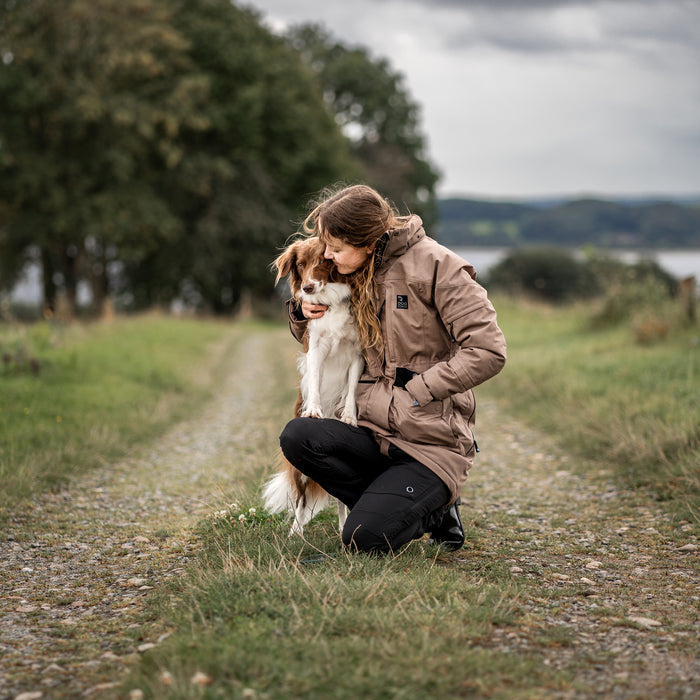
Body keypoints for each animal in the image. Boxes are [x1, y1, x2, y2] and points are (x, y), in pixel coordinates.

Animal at [260, 237, 364, 536]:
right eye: (300, 264)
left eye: (323, 261)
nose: (306, 288)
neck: (331, 301)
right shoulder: (316, 348)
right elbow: (315, 382)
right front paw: (314, 411)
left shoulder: (357, 354)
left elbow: (352, 390)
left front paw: (349, 416)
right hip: (301, 469)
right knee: (301, 500)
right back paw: (296, 533)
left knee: (341, 499)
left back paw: (343, 528)